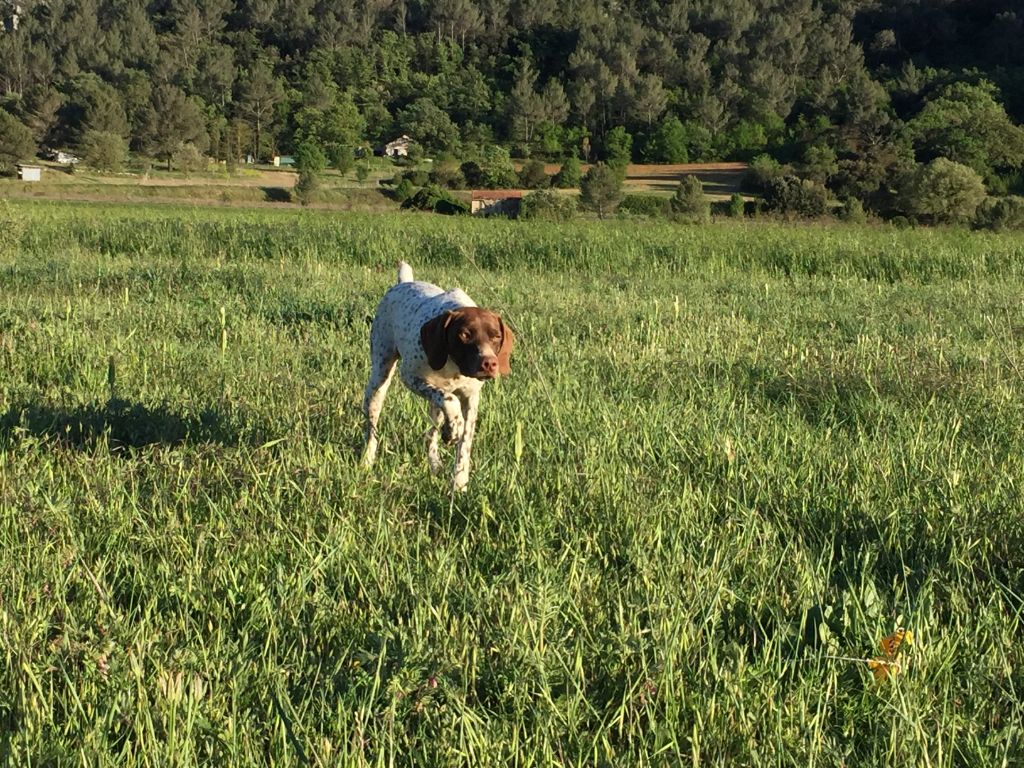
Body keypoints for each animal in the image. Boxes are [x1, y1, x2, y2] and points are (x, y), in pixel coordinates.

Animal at [364, 264, 516, 493]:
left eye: (496, 336)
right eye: (464, 334)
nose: (489, 363)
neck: (455, 366)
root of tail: (403, 283)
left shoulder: (471, 399)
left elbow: (464, 444)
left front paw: (459, 484)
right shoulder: (411, 377)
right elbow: (450, 401)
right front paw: (453, 428)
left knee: (431, 434)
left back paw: (436, 459)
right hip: (379, 379)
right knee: (372, 427)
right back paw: (367, 459)